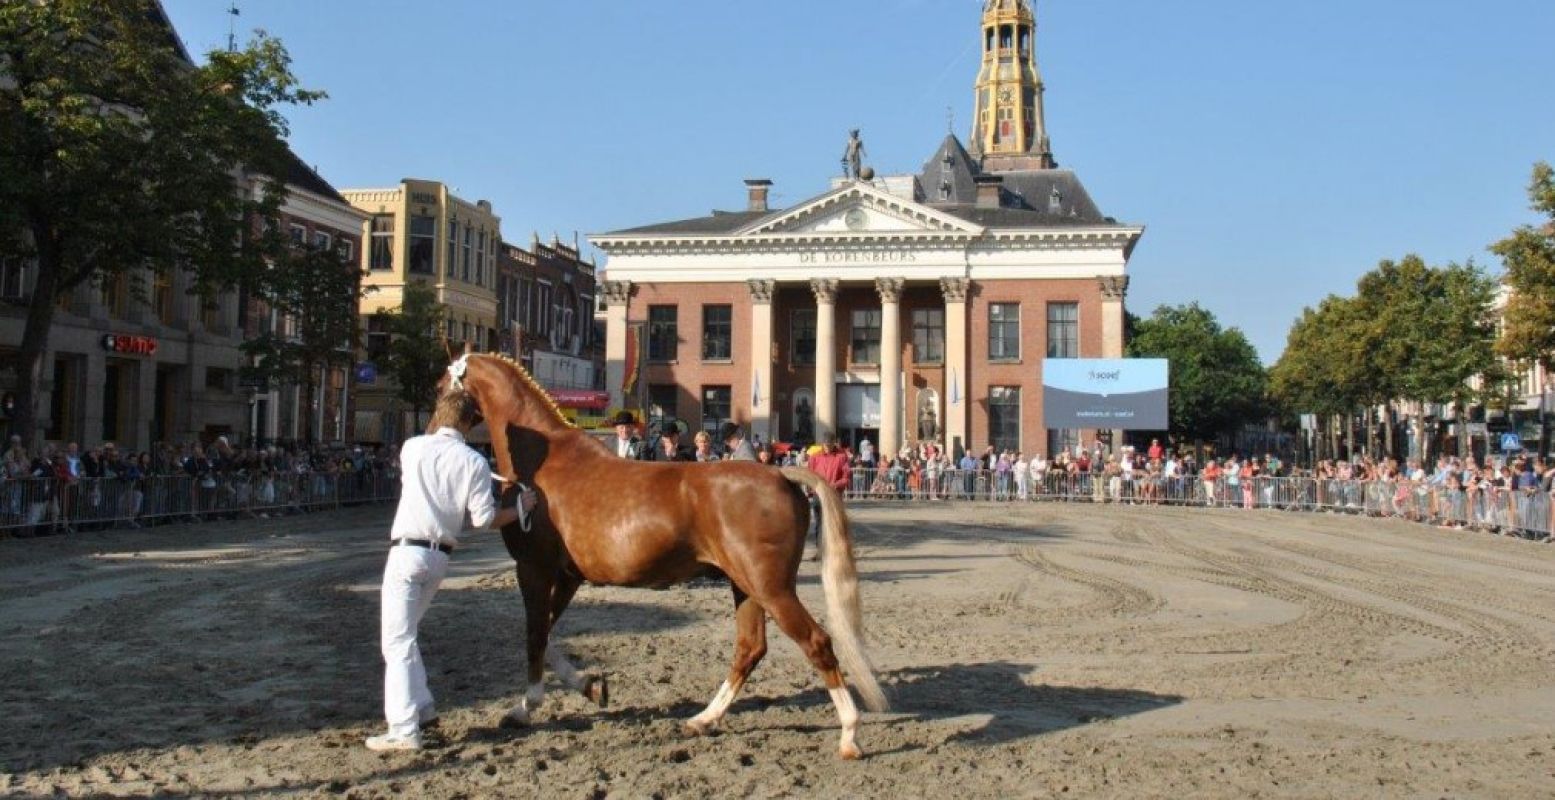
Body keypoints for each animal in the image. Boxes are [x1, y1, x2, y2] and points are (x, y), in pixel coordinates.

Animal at [444, 351, 895, 756]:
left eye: (440, 386)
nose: (437, 427)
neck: (544, 463)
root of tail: (780, 472)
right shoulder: (568, 575)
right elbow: (547, 633)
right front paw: (592, 687)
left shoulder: (534, 569)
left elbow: (535, 634)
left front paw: (524, 707)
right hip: (745, 586)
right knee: (750, 648)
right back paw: (703, 719)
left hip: (771, 588)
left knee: (816, 642)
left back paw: (849, 735)